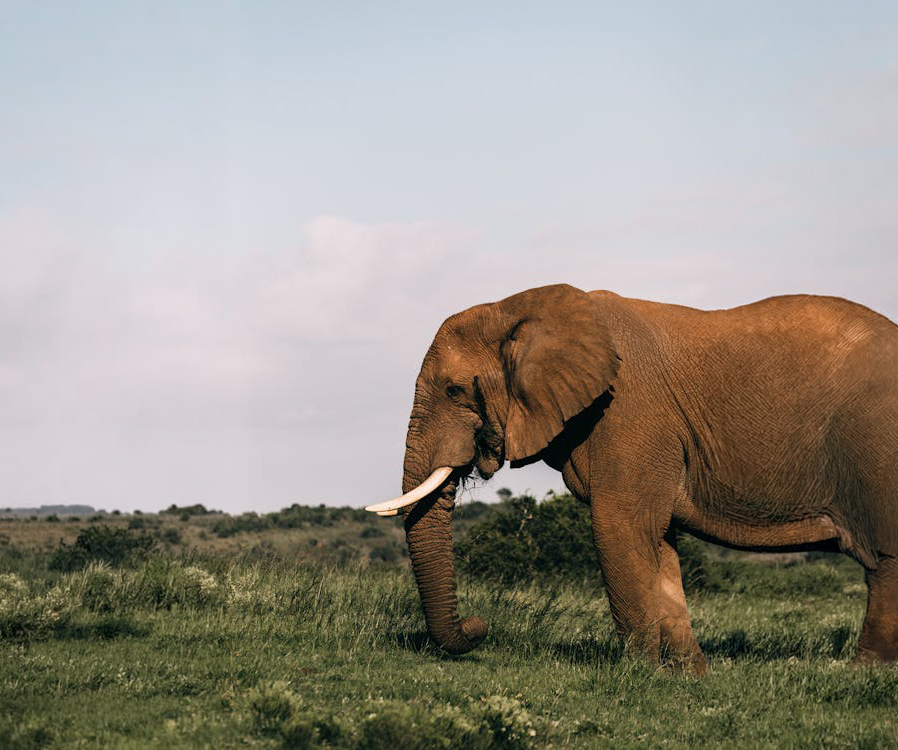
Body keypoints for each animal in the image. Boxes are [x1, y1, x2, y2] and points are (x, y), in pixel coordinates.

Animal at [365, 284, 898, 671]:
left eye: (456, 390)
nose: (480, 627)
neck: (516, 307)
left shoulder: (628, 413)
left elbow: (620, 528)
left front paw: (637, 674)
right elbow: (658, 543)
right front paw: (690, 676)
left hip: (877, 443)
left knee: (886, 561)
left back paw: (864, 673)